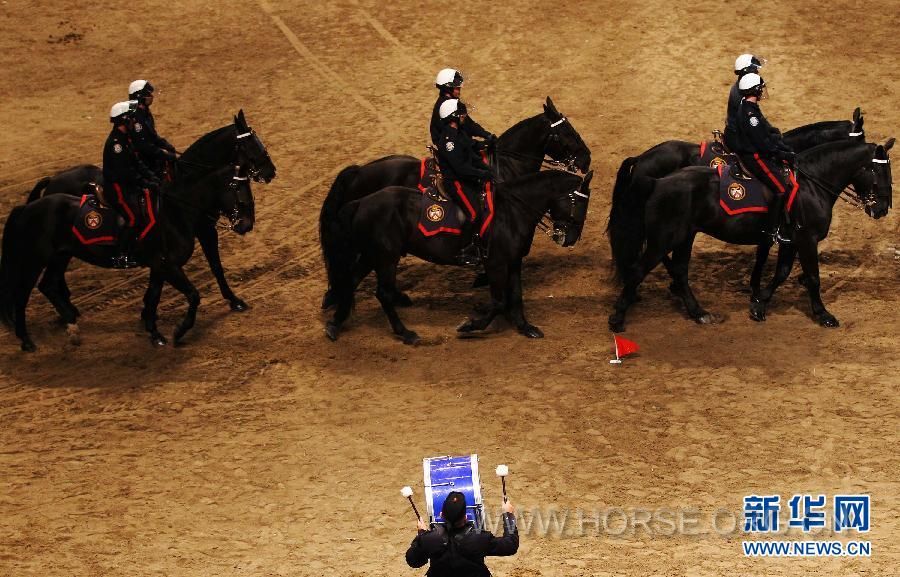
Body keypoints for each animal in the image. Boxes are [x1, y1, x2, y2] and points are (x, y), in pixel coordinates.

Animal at [0, 162, 260, 352]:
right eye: (237, 188)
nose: (246, 224)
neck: (174, 214)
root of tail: (27, 208)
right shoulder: (169, 266)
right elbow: (193, 295)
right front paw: (178, 331)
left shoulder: (160, 267)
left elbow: (154, 297)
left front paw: (154, 333)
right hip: (35, 261)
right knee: (22, 296)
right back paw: (27, 340)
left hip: (59, 257)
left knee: (49, 285)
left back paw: (71, 323)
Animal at [26, 109, 276, 312]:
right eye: (251, 145)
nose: (271, 172)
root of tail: (52, 181)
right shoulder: (204, 229)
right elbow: (214, 265)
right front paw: (234, 300)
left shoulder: (204, 230)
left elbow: (216, 265)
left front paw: (233, 300)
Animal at [322, 169, 592, 344]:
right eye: (578, 204)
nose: (570, 238)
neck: (512, 212)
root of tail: (361, 202)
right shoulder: (495, 263)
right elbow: (499, 301)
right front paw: (470, 325)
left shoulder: (514, 261)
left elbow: (516, 296)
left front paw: (526, 328)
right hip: (386, 258)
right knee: (383, 293)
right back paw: (406, 333)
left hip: (372, 255)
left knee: (351, 282)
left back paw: (335, 324)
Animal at [604, 137, 892, 330]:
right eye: (879, 171)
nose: (882, 209)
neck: (811, 185)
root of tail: (657, 181)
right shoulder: (806, 239)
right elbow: (812, 277)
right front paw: (823, 314)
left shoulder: (790, 241)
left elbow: (781, 273)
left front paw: (759, 304)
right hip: (664, 240)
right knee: (640, 270)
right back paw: (618, 318)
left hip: (683, 237)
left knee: (680, 271)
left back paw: (698, 312)